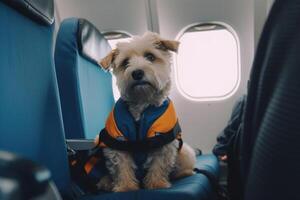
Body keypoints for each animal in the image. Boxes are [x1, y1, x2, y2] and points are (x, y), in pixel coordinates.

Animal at [95, 32, 196, 191]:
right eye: (125, 62)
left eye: (150, 56)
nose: (137, 73)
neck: (142, 103)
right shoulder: (118, 143)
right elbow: (122, 166)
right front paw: (126, 187)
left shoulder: (163, 142)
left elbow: (158, 165)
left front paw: (156, 184)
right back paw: (106, 182)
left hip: (185, 152)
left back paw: (183, 173)